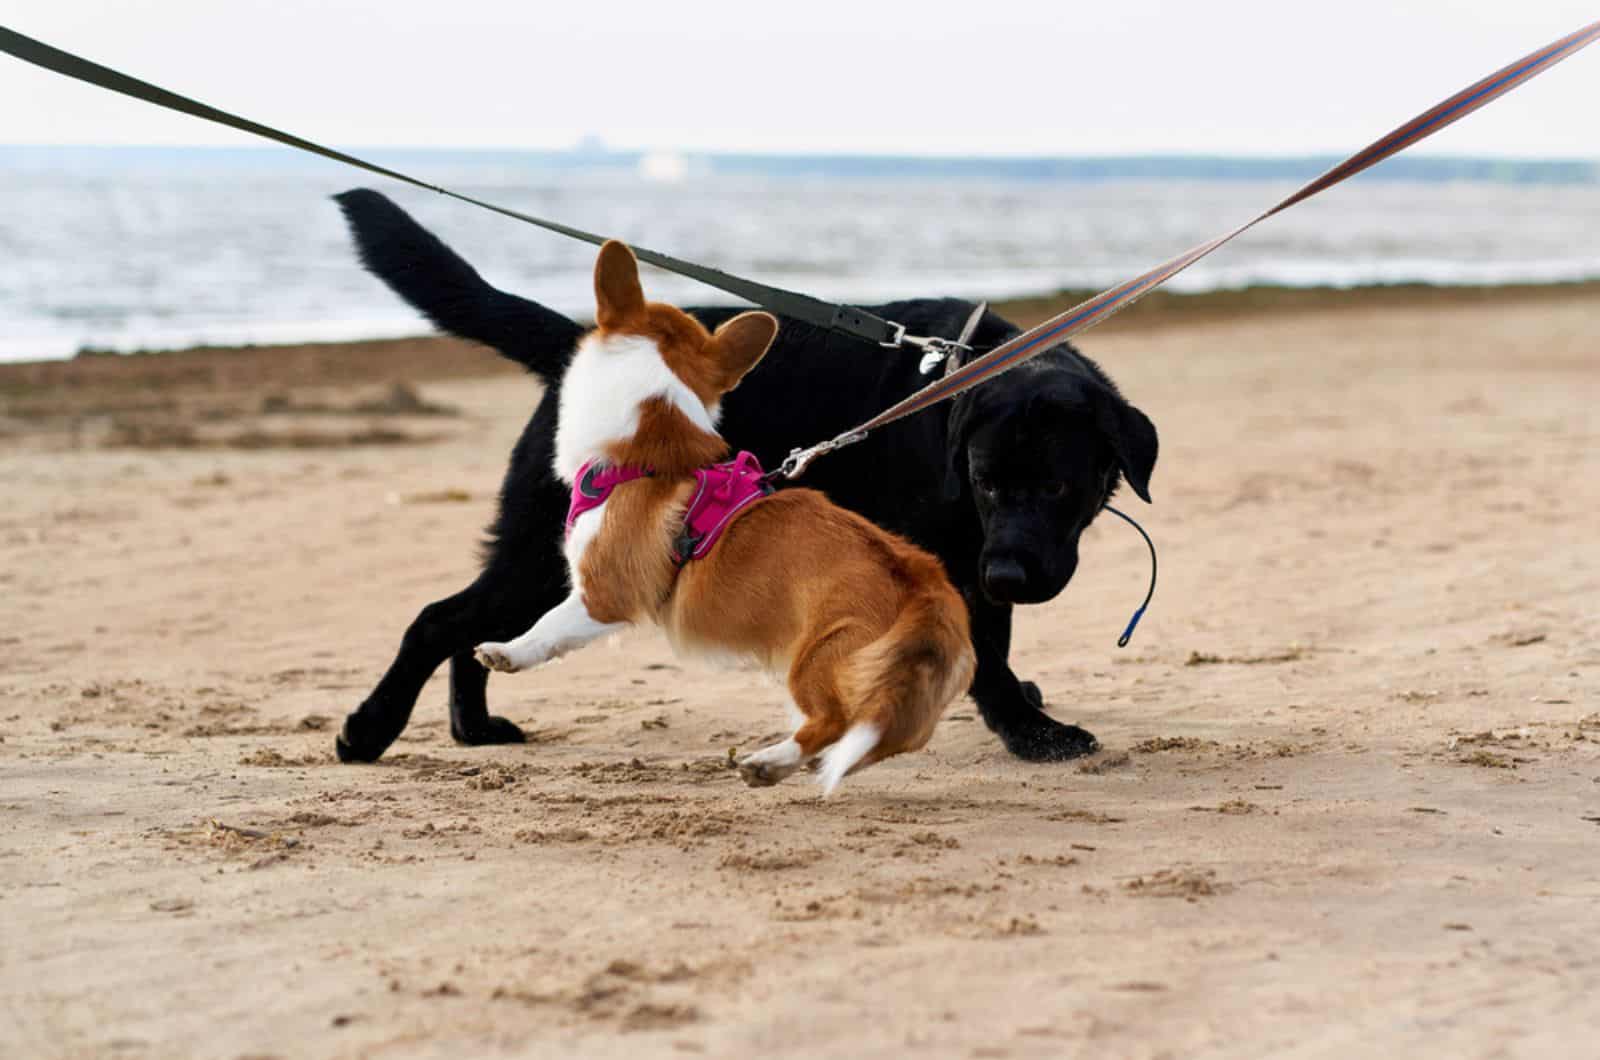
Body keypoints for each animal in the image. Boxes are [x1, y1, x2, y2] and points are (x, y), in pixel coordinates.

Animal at [334, 188, 1152, 765]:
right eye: (984, 481)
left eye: (1059, 488)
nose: (1012, 576)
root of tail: (580, 340)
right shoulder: (959, 554)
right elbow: (988, 658)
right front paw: (1032, 732)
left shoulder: (978, 555)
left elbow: (994, 645)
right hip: (542, 550)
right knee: (439, 618)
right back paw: (370, 730)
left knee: (466, 625)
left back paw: (472, 726)